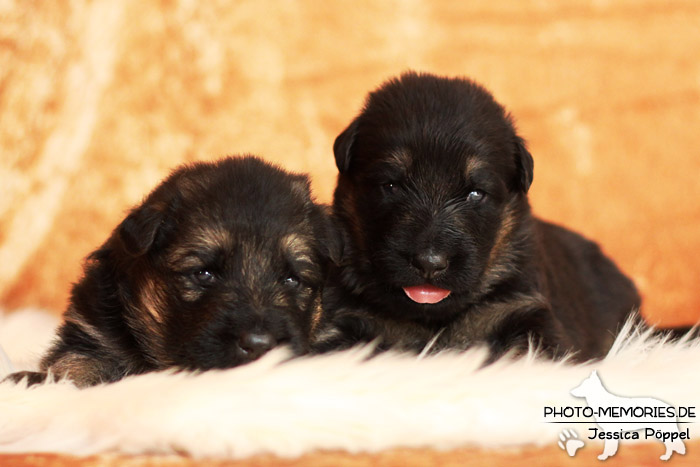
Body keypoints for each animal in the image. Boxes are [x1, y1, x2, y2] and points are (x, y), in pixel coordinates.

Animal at [4, 157, 334, 388]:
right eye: (203, 274)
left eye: (292, 279)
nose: (260, 345)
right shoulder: (93, 335)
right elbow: (75, 365)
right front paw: (35, 380)